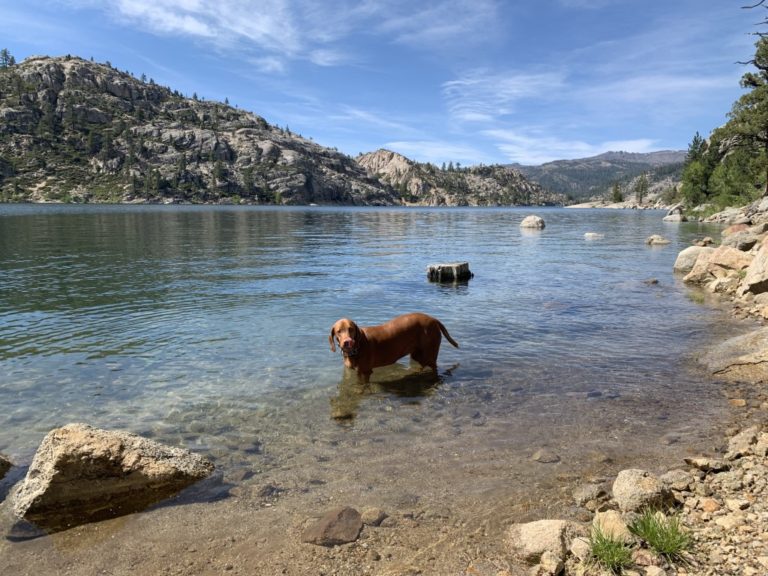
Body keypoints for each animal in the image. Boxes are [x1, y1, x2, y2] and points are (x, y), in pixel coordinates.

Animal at [328, 310, 456, 382]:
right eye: (339, 331)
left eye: (351, 329)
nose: (348, 342)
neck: (356, 349)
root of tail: (434, 319)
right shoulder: (354, 371)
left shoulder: (366, 371)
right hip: (417, 354)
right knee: (422, 365)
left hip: (430, 353)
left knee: (433, 367)